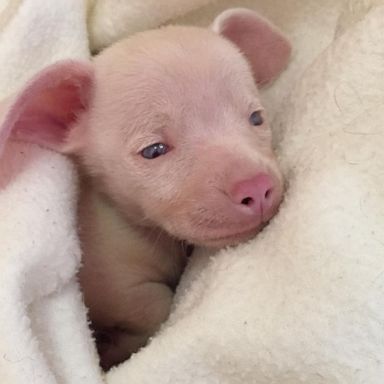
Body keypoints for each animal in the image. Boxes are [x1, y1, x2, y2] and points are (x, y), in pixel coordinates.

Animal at [0, 8, 292, 368]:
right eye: (153, 150)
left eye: (256, 118)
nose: (257, 187)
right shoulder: (109, 274)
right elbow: (155, 305)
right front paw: (112, 349)